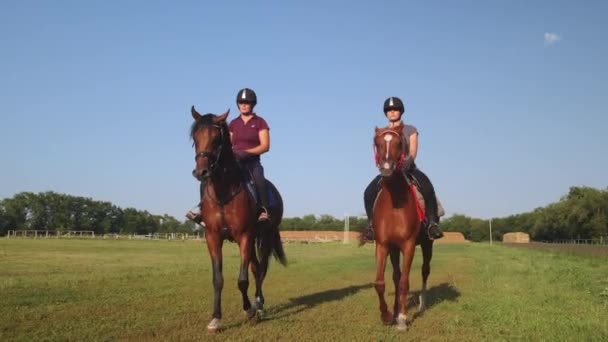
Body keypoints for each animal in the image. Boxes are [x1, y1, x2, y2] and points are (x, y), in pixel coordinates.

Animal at [190, 106, 288, 332]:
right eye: (195, 138)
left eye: (216, 139)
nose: (201, 172)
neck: (224, 191)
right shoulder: (213, 237)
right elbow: (218, 279)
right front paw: (215, 319)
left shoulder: (244, 236)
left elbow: (242, 280)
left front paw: (249, 310)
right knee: (255, 268)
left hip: (265, 237)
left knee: (261, 270)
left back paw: (258, 304)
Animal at [370, 125, 432, 332]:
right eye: (377, 142)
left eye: (399, 143)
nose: (386, 168)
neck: (395, 202)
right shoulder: (383, 245)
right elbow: (381, 282)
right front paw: (387, 315)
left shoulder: (409, 245)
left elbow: (405, 282)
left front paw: (403, 319)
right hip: (394, 248)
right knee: (396, 276)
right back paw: (396, 309)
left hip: (427, 244)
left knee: (425, 270)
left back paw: (421, 305)